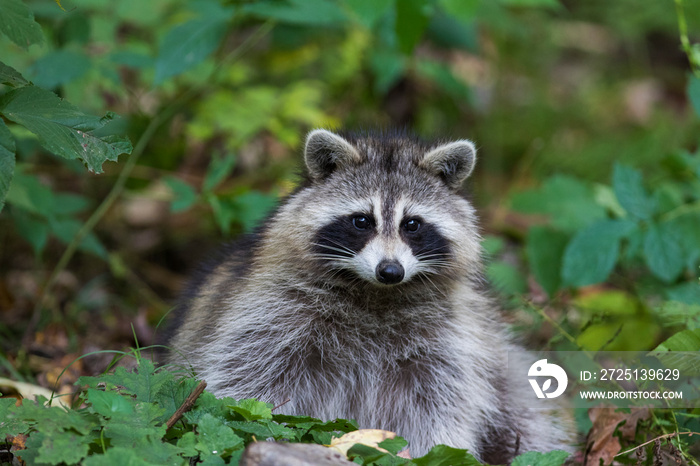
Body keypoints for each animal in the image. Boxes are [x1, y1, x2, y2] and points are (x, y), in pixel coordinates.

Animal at [167, 128, 572, 462]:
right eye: (362, 221)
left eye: (412, 225)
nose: (390, 271)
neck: (375, 292)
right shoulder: (272, 313)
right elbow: (251, 384)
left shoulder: (448, 340)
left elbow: (438, 403)